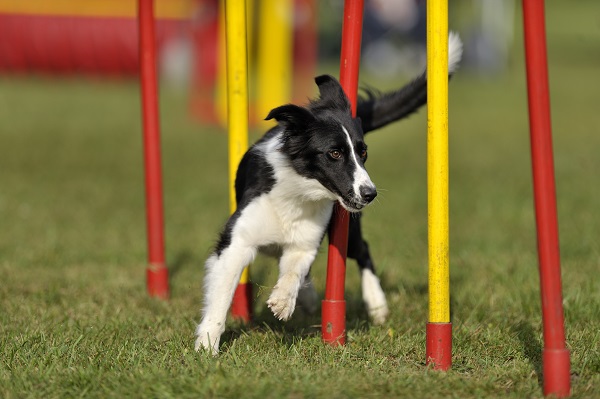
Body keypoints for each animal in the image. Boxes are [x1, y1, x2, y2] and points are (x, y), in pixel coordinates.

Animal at [195, 32, 462, 354]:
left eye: (363, 152)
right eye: (334, 153)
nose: (370, 193)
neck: (299, 195)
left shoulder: (306, 239)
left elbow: (295, 268)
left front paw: (283, 301)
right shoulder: (237, 241)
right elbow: (221, 295)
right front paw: (207, 346)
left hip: (351, 230)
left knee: (363, 250)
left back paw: (376, 304)